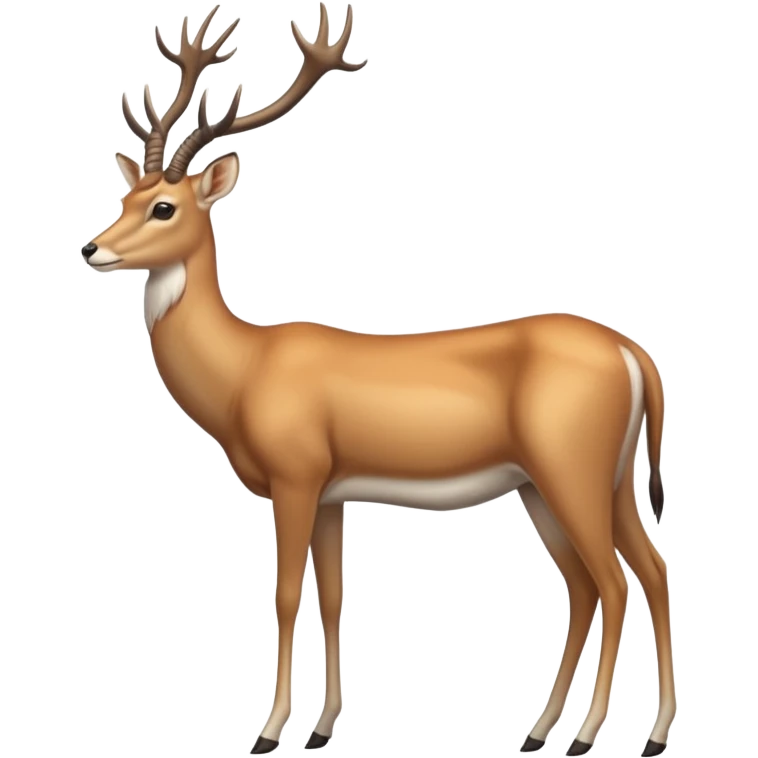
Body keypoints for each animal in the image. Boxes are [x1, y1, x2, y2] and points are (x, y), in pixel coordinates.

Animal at [82, 5, 676, 757]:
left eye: (164, 206)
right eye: (126, 192)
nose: (92, 248)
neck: (246, 369)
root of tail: (634, 353)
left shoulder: (296, 476)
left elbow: (285, 593)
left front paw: (269, 732)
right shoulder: (334, 491)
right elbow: (334, 597)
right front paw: (320, 729)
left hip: (571, 468)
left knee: (616, 581)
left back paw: (587, 735)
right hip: (570, 482)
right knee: (628, 574)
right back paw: (570, 732)